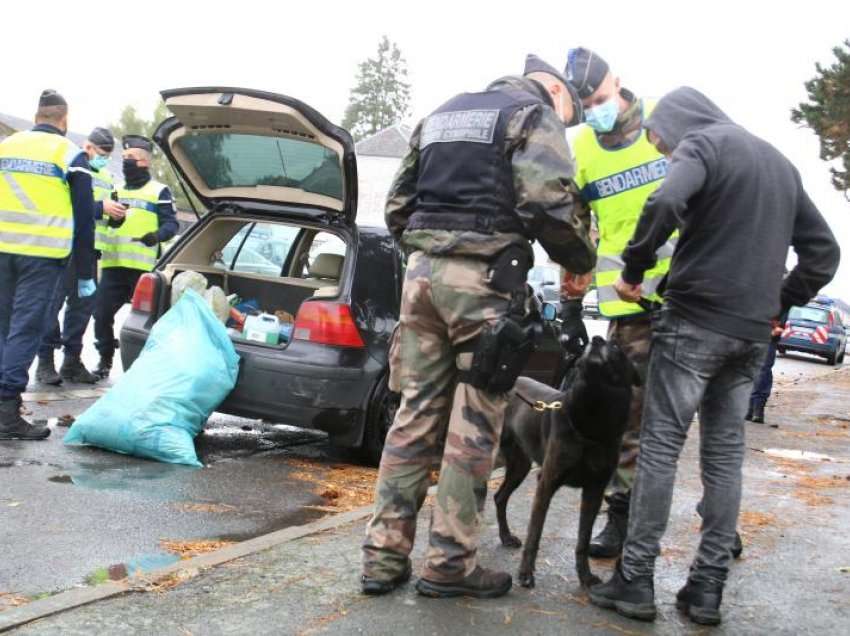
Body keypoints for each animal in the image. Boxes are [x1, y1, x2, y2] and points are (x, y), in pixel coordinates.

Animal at [494, 336, 640, 588]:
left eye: (615, 347)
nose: (596, 339)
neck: (592, 423)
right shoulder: (546, 482)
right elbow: (535, 533)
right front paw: (526, 573)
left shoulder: (594, 490)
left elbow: (583, 540)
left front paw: (586, 576)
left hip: (520, 466)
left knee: (499, 497)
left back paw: (505, 536)